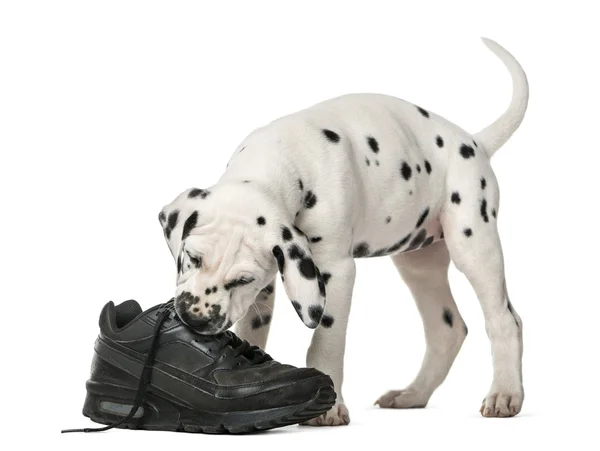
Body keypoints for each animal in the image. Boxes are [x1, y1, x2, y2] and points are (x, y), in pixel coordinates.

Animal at [161, 38, 528, 424]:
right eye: (192, 258)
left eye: (242, 279)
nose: (194, 318)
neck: (284, 159)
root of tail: (474, 142)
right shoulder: (268, 286)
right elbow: (253, 330)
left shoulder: (334, 271)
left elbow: (326, 339)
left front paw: (330, 407)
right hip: (419, 265)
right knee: (447, 329)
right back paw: (412, 395)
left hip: (473, 245)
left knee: (505, 320)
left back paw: (505, 393)